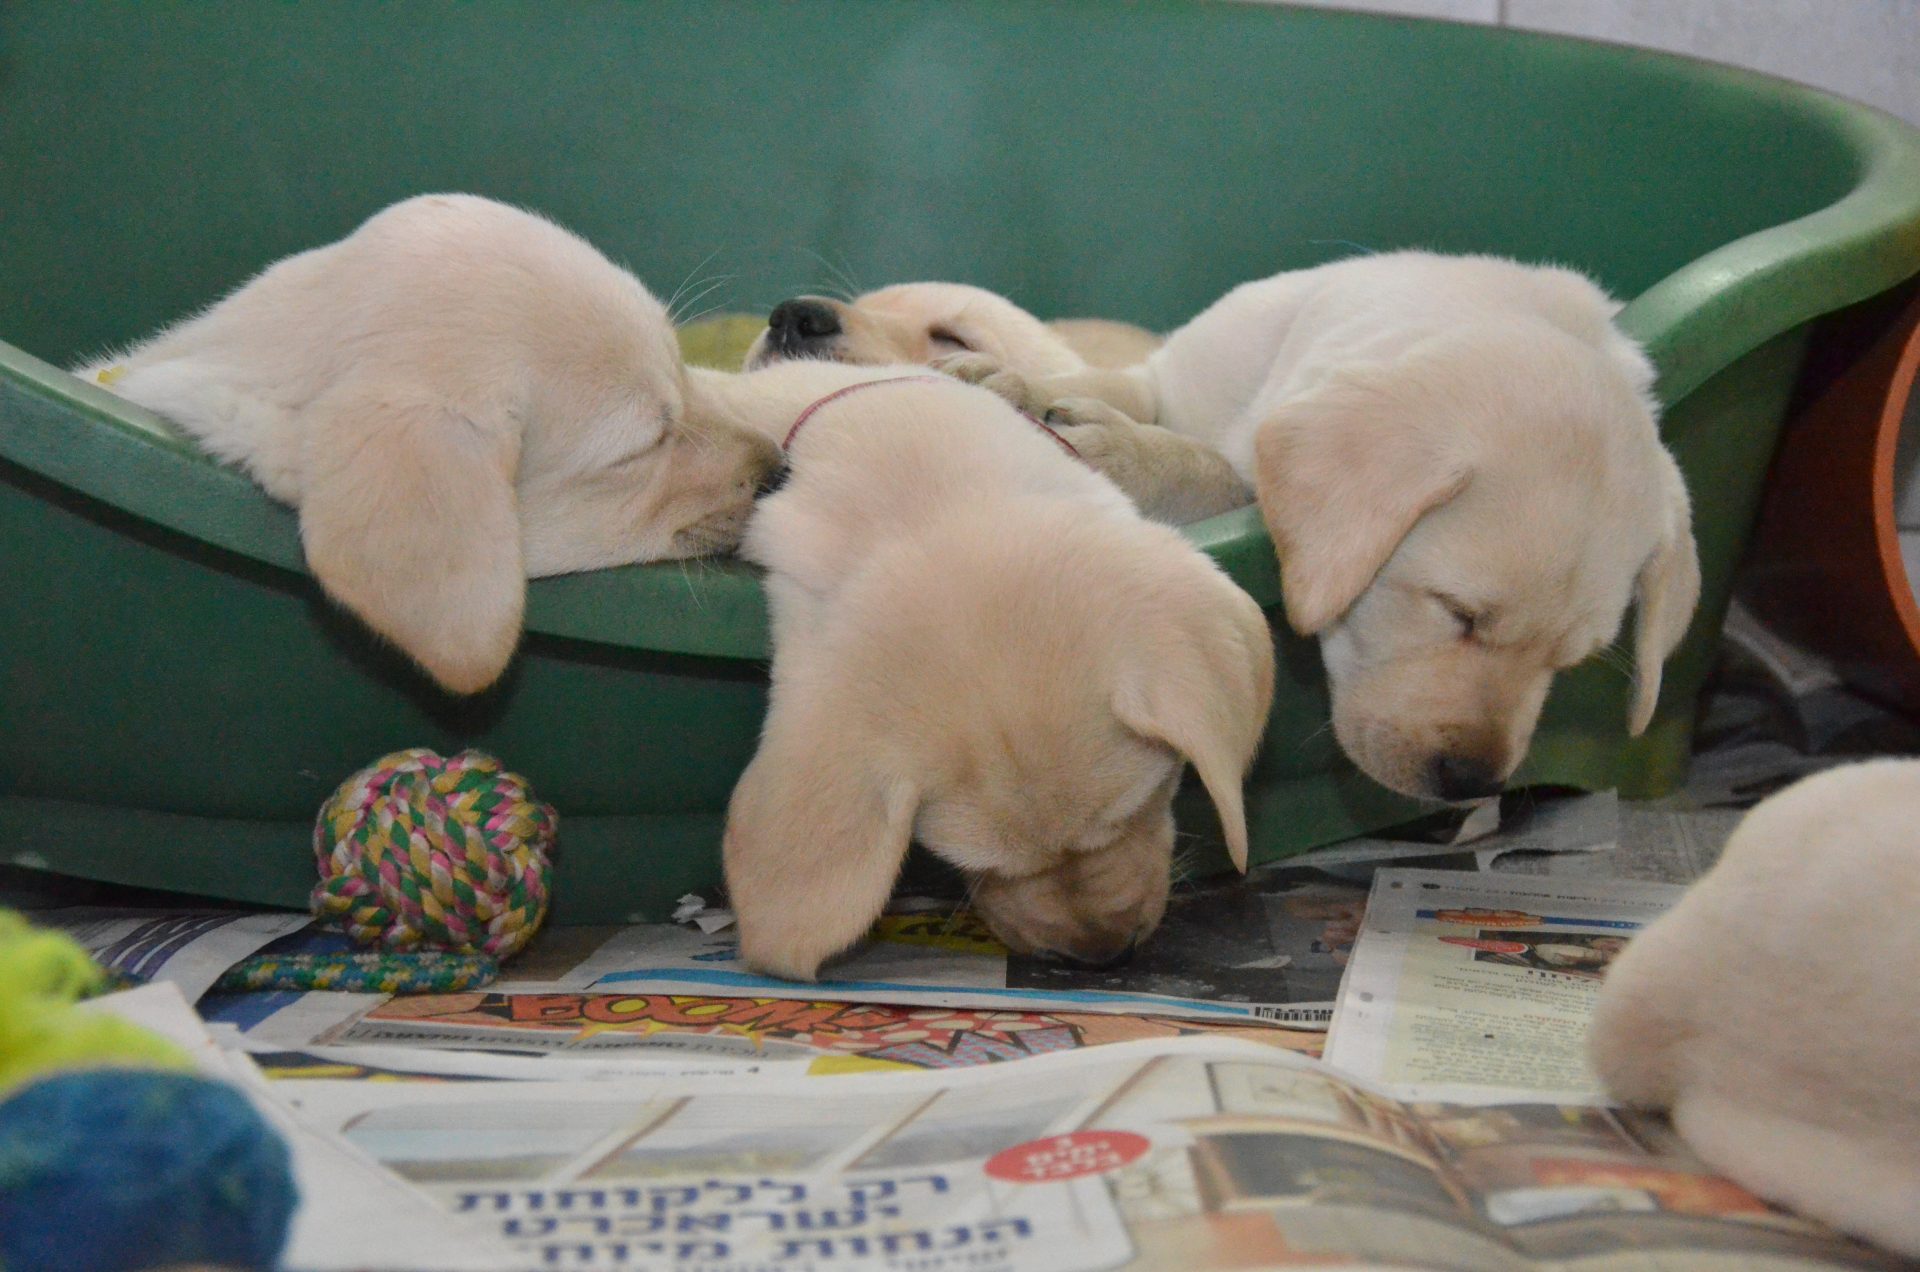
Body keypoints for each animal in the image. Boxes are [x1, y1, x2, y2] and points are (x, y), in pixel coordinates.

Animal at [756, 253, 1704, 803]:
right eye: (1457, 613)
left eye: (1571, 665)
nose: (1470, 784)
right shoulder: (1172, 371)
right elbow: (1124, 391)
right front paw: (1030, 392)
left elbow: (1219, 471)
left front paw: (1112, 446)